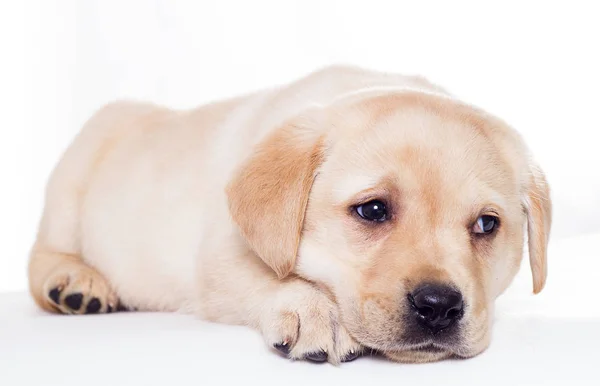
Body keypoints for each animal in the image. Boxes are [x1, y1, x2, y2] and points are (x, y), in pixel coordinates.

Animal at [28, 65, 552, 364]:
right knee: (42, 256)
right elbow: (265, 276)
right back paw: (75, 283)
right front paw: (315, 311)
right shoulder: (220, 254)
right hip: (73, 177)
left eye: (486, 225)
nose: (439, 306)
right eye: (373, 210)